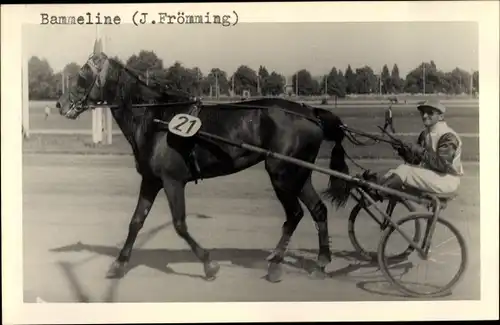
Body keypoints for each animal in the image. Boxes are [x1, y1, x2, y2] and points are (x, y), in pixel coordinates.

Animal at [55, 47, 352, 280]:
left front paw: (209, 264)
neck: (155, 119)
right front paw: (118, 264)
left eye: (83, 75)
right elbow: (136, 221)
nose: (60, 104)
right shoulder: (151, 180)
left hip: (281, 173)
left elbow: (179, 224)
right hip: (299, 174)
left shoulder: (172, 181)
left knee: (295, 214)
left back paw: (277, 264)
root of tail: (309, 111)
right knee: (318, 210)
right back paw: (321, 262)